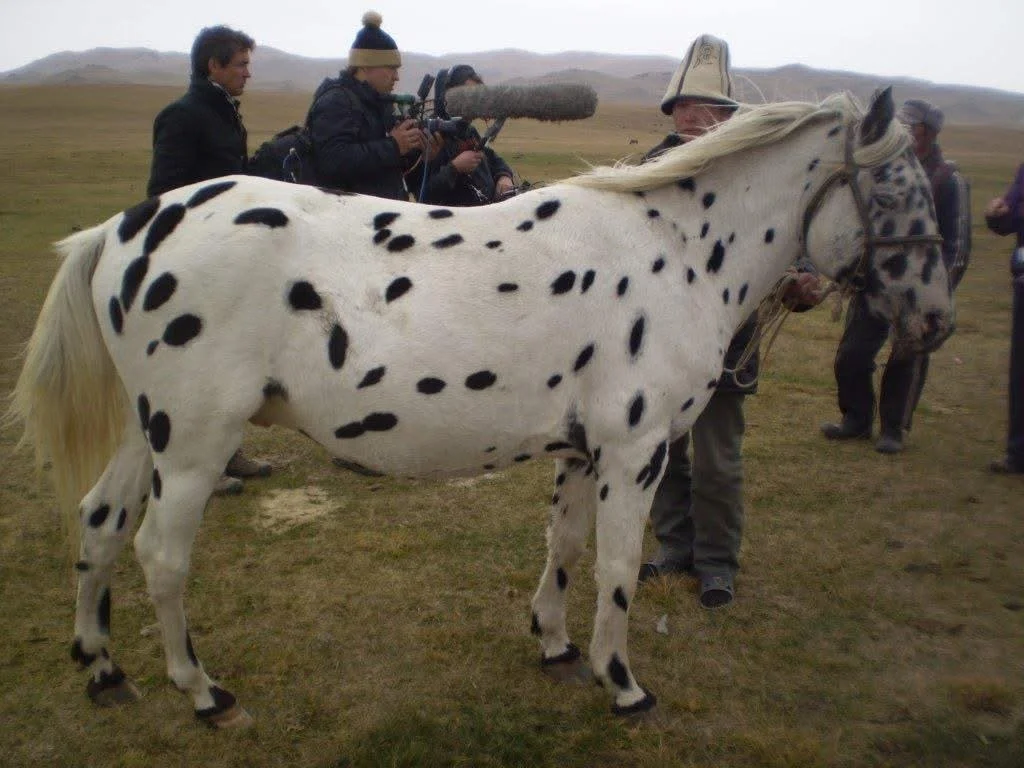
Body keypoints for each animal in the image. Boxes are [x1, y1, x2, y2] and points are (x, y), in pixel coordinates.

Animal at [8, 88, 953, 727]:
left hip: (149, 436)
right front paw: (623, 684)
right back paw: (202, 691)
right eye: (896, 187)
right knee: (160, 558)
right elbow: (616, 567)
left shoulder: (583, 452)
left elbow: (564, 549)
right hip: (196, 446)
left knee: (97, 525)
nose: (935, 319)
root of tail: (128, 228)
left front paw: (557, 646)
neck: (675, 249)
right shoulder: (636, 450)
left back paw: (102, 668)